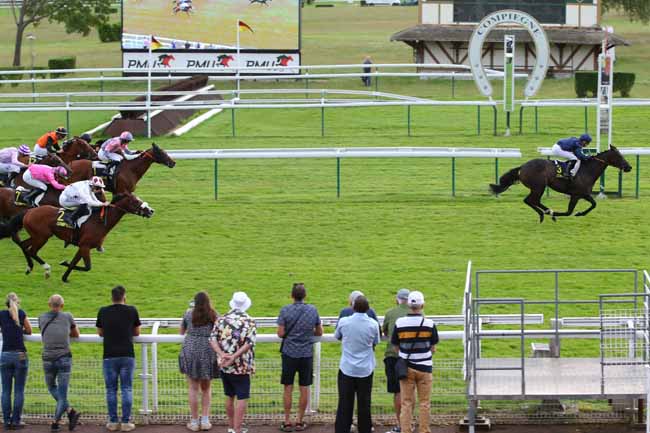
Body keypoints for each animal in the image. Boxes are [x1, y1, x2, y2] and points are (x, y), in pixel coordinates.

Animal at [0, 192, 154, 280]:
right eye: (135, 201)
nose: (150, 211)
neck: (99, 221)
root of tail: (28, 212)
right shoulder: (85, 246)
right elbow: (87, 267)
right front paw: (63, 263)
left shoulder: (83, 247)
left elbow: (75, 263)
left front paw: (64, 277)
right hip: (42, 236)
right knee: (31, 250)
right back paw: (46, 269)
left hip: (38, 236)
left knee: (24, 245)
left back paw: (29, 267)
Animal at [488, 146, 632, 223]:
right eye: (619, 156)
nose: (629, 167)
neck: (586, 170)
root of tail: (522, 167)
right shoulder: (575, 195)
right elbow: (569, 212)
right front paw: (556, 215)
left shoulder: (583, 194)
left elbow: (594, 204)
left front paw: (580, 213)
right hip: (538, 187)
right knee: (529, 200)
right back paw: (543, 214)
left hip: (538, 187)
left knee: (534, 201)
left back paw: (547, 211)